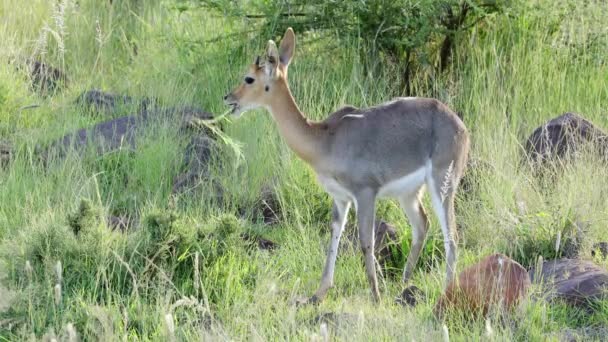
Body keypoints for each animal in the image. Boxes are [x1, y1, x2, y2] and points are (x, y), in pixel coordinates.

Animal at [223, 28, 470, 304]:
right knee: (422, 226)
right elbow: (334, 238)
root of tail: (459, 123)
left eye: (249, 78)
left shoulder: (365, 193)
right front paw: (318, 294)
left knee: (452, 236)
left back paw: (444, 290)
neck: (324, 140)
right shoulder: (340, 198)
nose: (228, 98)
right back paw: (404, 285)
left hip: (443, 185)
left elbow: (365, 242)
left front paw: (375, 296)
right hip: (409, 193)